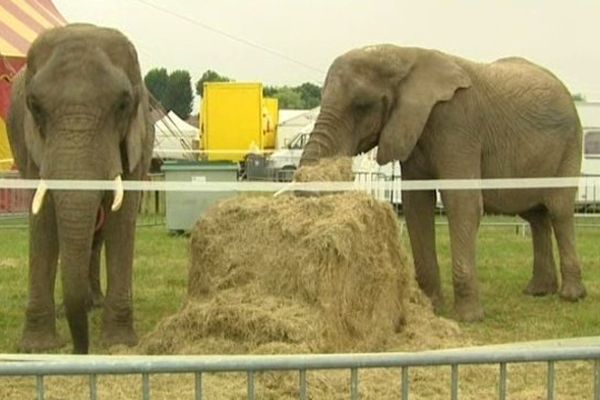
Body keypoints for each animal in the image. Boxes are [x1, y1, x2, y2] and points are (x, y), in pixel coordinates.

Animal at [7, 23, 155, 354]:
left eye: (124, 104)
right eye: (34, 106)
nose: (80, 350)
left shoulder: (136, 144)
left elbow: (121, 220)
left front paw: (119, 343)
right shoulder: (34, 149)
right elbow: (44, 220)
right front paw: (38, 348)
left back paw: (93, 303)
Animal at [300, 44, 584, 322]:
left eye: (362, 105)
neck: (403, 54)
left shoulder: (458, 124)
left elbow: (462, 203)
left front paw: (468, 318)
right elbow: (416, 205)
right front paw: (430, 308)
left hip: (570, 144)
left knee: (559, 210)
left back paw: (571, 296)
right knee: (536, 216)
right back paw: (538, 291)